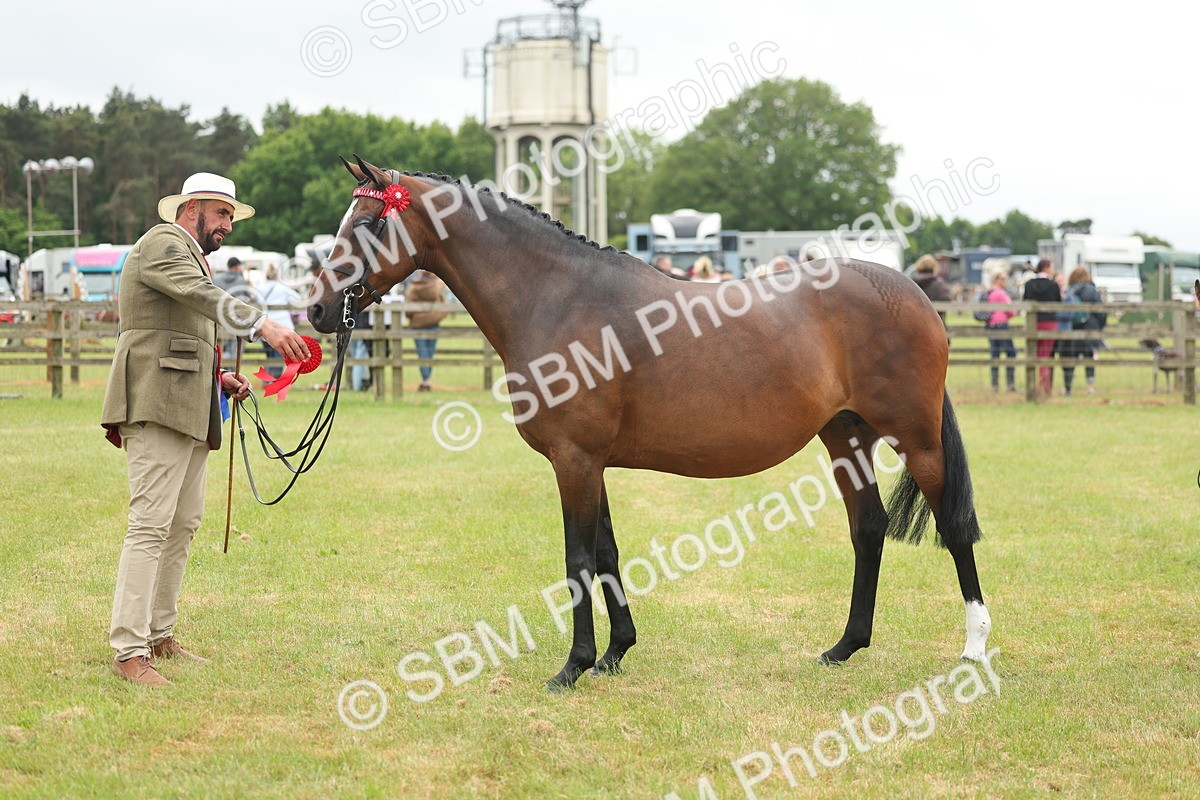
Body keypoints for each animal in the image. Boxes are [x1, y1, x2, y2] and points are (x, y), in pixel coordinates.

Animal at [307, 155, 993, 690]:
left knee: (954, 528)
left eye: (365, 224)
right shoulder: (591, 462)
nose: (316, 310)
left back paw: (974, 648)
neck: (559, 299)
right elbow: (607, 550)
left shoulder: (574, 460)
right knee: (868, 528)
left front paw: (573, 666)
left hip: (916, 439)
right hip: (845, 435)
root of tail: (913, 292)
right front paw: (615, 652)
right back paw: (845, 647)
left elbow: (578, 557)